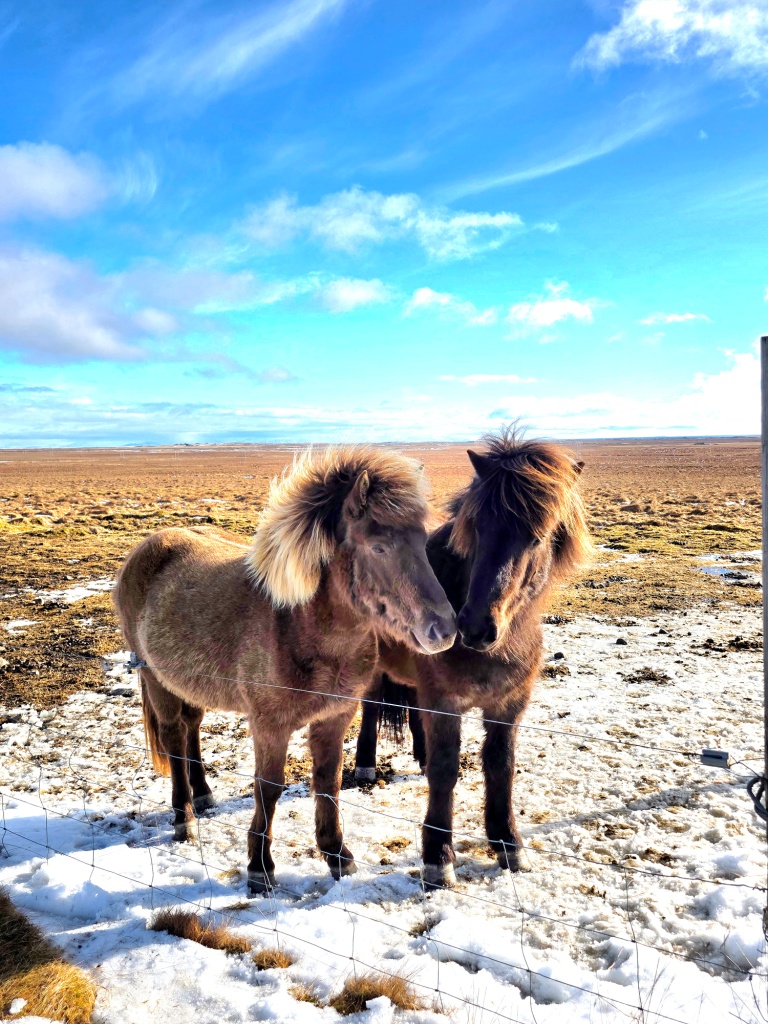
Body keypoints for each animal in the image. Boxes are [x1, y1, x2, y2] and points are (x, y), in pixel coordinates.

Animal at [112, 445, 456, 893]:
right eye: (379, 547)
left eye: (422, 542)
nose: (444, 630)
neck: (301, 628)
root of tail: (145, 550)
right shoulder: (269, 726)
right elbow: (269, 789)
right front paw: (260, 868)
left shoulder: (335, 716)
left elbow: (328, 782)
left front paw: (337, 855)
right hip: (156, 680)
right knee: (173, 736)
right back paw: (183, 817)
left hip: (189, 685)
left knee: (191, 729)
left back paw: (203, 796)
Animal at [354, 430, 591, 886]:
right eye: (478, 527)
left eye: (537, 537)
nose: (475, 626)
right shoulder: (445, 703)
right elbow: (446, 770)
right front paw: (438, 857)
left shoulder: (508, 706)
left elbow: (501, 766)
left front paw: (509, 844)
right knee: (372, 708)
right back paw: (365, 767)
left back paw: (419, 757)